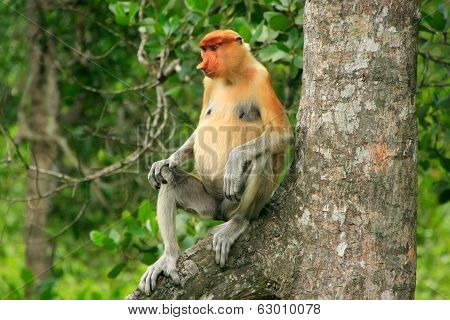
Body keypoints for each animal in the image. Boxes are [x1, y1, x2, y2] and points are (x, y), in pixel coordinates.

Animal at [139, 30, 294, 292]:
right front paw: (166, 161)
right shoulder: (208, 84)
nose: (203, 64)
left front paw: (234, 161)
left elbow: (283, 134)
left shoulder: (262, 78)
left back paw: (237, 223)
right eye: (204, 49)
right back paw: (169, 256)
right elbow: (198, 130)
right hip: (207, 204)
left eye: (214, 48)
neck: (232, 76)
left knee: (260, 159)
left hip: (233, 204)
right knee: (170, 180)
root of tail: (221, 210)